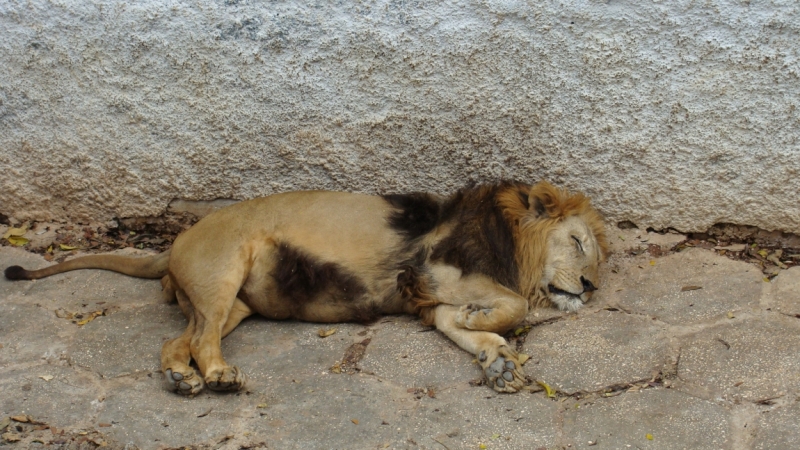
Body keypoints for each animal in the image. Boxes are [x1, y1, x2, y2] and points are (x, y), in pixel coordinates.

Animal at [4, 181, 608, 396]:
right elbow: (511, 305)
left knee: (177, 340)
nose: (592, 287)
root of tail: (173, 244)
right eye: (579, 243)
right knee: (199, 341)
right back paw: (218, 377)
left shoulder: (427, 293)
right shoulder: (431, 269)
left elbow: (457, 321)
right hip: (224, 270)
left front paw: (494, 358)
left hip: (230, 306)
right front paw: (488, 330)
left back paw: (181, 378)